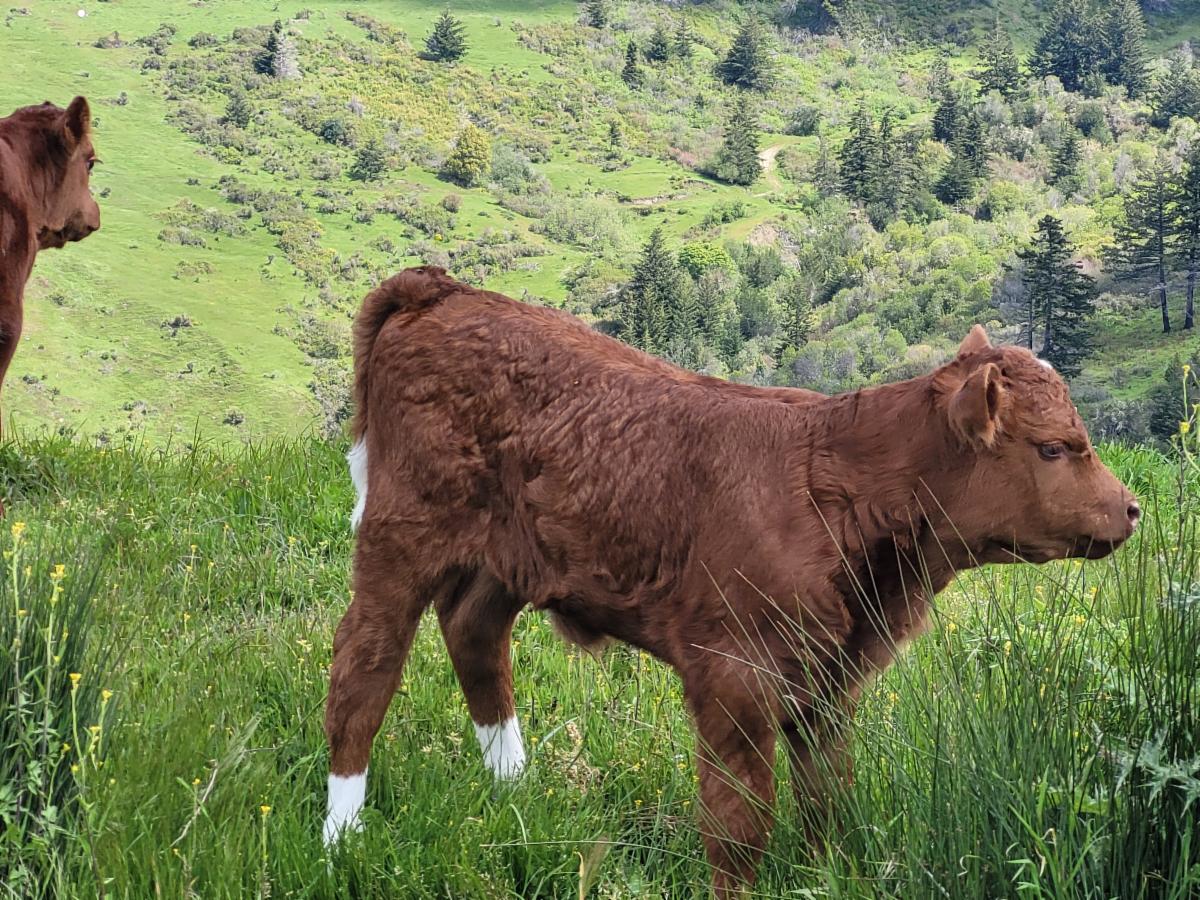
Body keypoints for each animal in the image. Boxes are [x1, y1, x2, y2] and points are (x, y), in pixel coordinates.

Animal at [323, 266, 1139, 896]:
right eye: (1055, 447)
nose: (1131, 509)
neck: (836, 481)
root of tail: (442, 290)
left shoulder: (828, 677)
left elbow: (827, 796)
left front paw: (826, 878)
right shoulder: (734, 676)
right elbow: (739, 819)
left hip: (510, 555)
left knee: (474, 634)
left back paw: (517, 790)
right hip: (400, 535)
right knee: (363, 672)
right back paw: (342, 834)